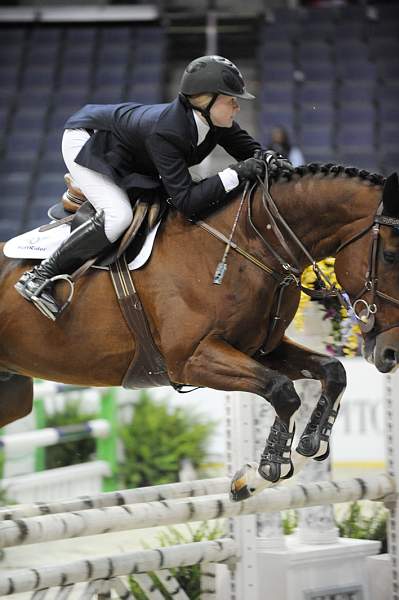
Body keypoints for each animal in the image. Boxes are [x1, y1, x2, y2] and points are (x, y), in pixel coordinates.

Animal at [0, 163, 399, 502]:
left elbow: (333, 372)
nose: (391, 352)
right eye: (392, 256)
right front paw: (264, 470)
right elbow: (282, 392)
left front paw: (304, 448)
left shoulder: (261, 350)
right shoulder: (192, 359)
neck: (252, 241)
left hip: (14, 394)